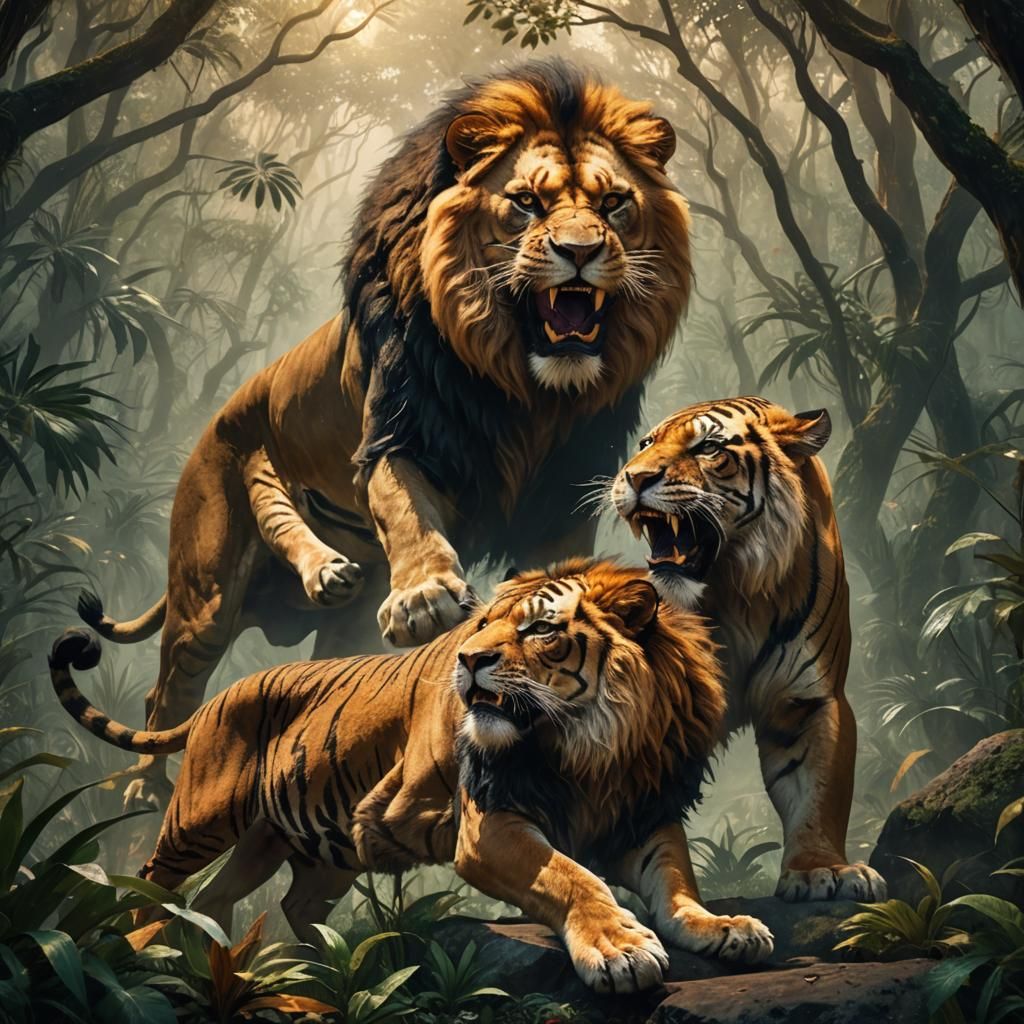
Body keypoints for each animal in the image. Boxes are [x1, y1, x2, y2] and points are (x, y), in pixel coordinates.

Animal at [49, 560, 773, 994]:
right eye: (483, 626)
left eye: (539, 629)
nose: (469, 659)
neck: (593, 747)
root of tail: (219, 697)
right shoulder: (488, 826)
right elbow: (573, 876)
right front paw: (619, 948)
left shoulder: (643, 815)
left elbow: (677, 883)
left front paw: (723, 926)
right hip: (203, 820)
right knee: (149, 885)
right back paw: (143, 953)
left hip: (299, 845)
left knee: (246, 901)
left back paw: (298, 966)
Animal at [78, 59, 693, 810]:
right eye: (525, 202)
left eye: (612, 205)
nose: (579, 253)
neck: (522, 390)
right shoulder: (395, 435)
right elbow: (406, 512)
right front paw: (425, 599)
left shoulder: (561, 491)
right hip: (205, 594)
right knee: (165, 692)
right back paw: (144, 788)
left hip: (337, 628)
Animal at [610, 397, 887, 903]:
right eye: (645, 444)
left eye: (708, 447)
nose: (634, 477)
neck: (733, 591)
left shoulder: (807, 701)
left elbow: (818, 793)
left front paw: (822, 871)